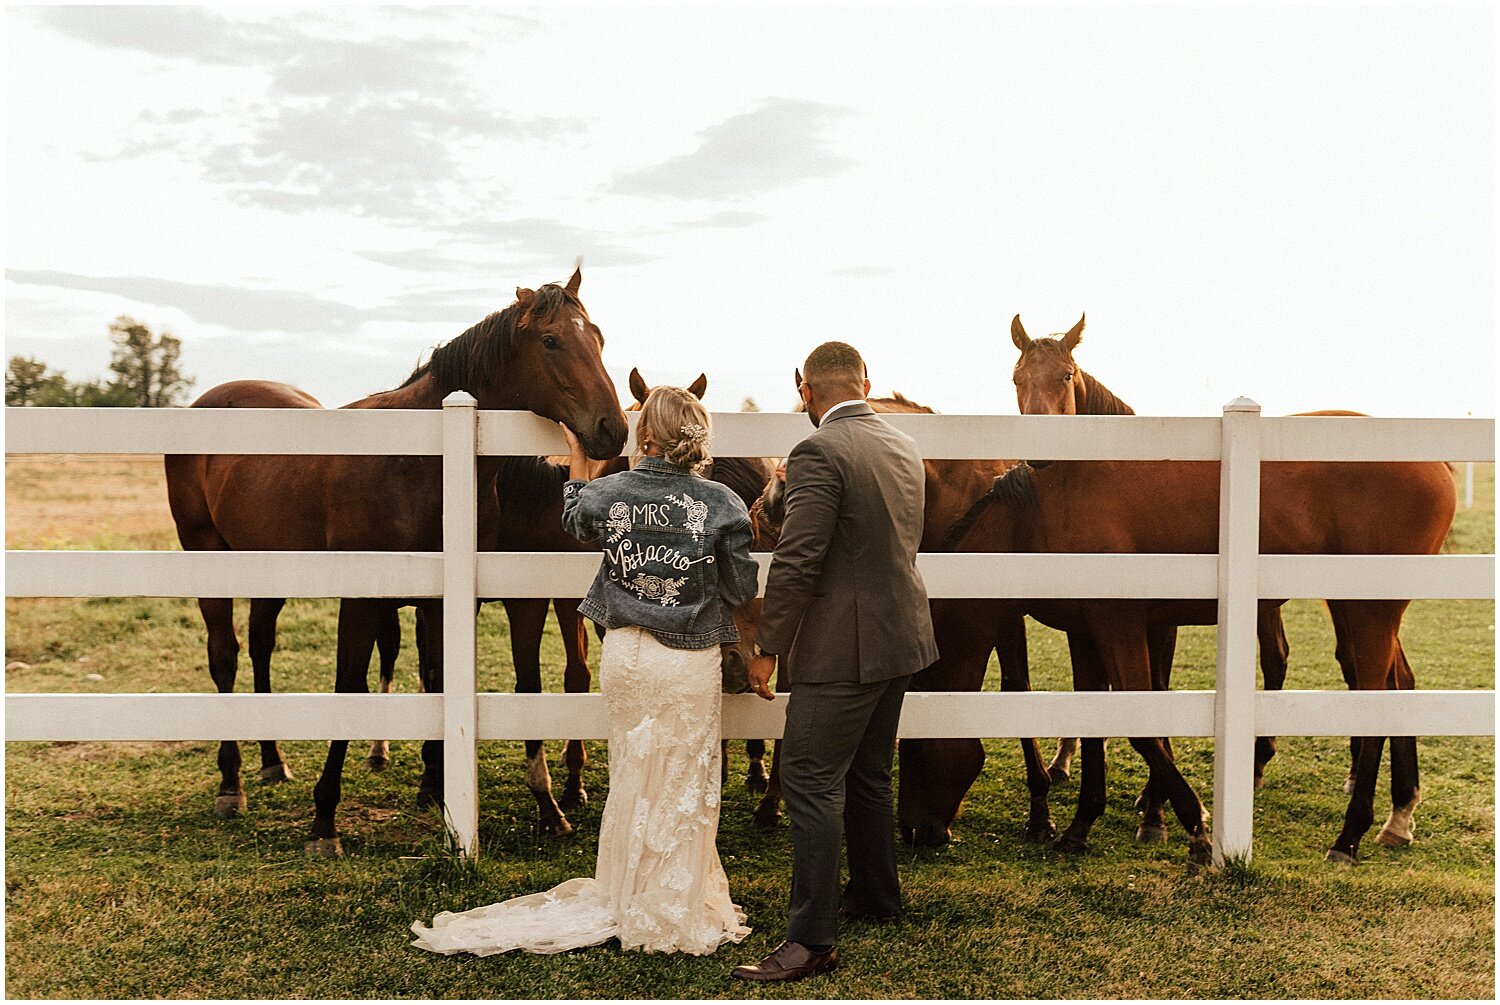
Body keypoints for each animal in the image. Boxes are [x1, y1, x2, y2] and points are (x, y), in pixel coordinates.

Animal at [165, 270, 627, 858]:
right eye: (551, 341)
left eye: (599, 338)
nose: (613, 429)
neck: (419, 460)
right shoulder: (365, 598)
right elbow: (349, 687)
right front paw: (324, 819)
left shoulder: (447, 601)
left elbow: (439, 678)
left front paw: (441, 789)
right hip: (206, 554)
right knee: (224, 657)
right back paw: (232, 783)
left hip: (267, 568)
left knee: (261, 645)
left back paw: (272, 761)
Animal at [948, 432, 1452, 864]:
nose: (931, 835)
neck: (1040, 514)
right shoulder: (1086, 633)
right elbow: (1096, 724)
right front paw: (1079, 827)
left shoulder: (1118, 624)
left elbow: (1140, 727)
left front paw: (1195, 828)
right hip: (1357, 611)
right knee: (1398, 687)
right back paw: (1398, 816)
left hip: (1369, 610)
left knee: (1374, 703)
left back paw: (1348, 838)